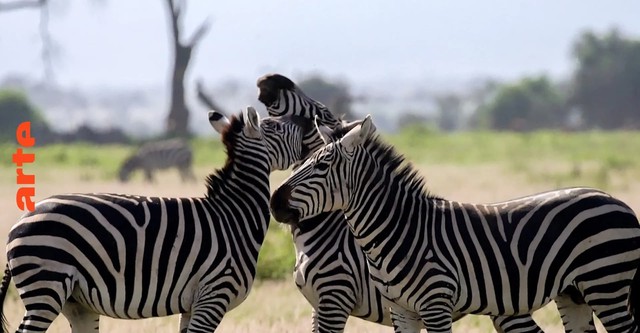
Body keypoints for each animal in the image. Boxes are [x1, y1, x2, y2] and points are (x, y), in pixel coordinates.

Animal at [0, 106, 316, 332]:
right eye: (275, 125)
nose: (307, 121)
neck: (234, 215)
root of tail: (19, 221)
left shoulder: (192, 304)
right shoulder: (214, 295)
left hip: (76, 302)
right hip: (46, 288)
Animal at [258, 74, 544, 330]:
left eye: (321, 110)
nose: (269, 80)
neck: (325, 230)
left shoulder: (335, 298)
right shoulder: (319, 307)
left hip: (507, 306)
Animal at [272, 114, 640, 332]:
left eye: (321, 166)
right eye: (303, 162)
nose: (275, 202)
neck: (401, 231)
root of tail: (615, 200)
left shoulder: (432, 304)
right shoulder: (401, 311)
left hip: (605, 283)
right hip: (572, 293)